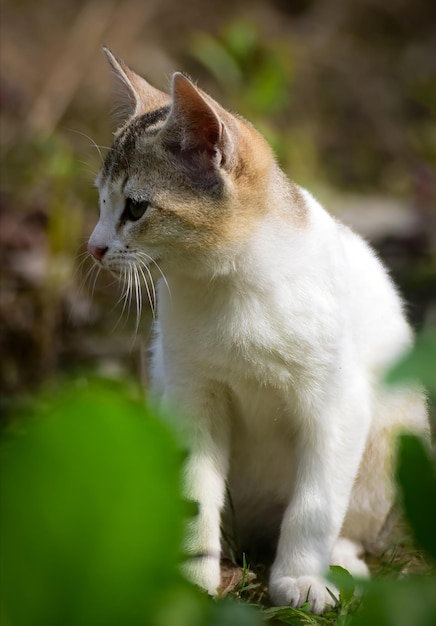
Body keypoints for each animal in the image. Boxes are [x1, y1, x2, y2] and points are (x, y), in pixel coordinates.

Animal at [88, 47, 430, 608]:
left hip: (397, 427)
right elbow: (194, 494)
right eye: (100, 202)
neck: (232, 283)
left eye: (135, 207)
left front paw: (301, 579)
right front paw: (191, 578)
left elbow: (314, 506)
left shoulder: (337, 406)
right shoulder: (189, 397)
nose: (94, 247)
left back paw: (342, 560)